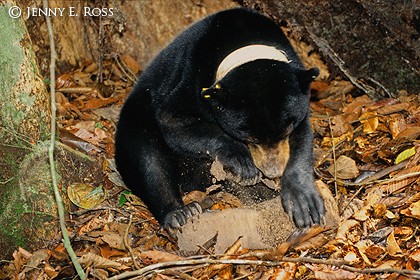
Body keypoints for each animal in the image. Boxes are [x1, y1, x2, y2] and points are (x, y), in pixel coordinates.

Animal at [115, 7, 324, 230]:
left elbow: (303, 140)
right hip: (136, 120)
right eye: (249, 137)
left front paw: (303, 201)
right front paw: (243, 164)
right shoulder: (186, 79)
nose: (273, 171)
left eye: (287, 128)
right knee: (149, 161)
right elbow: (174, 121)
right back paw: (180, 213)